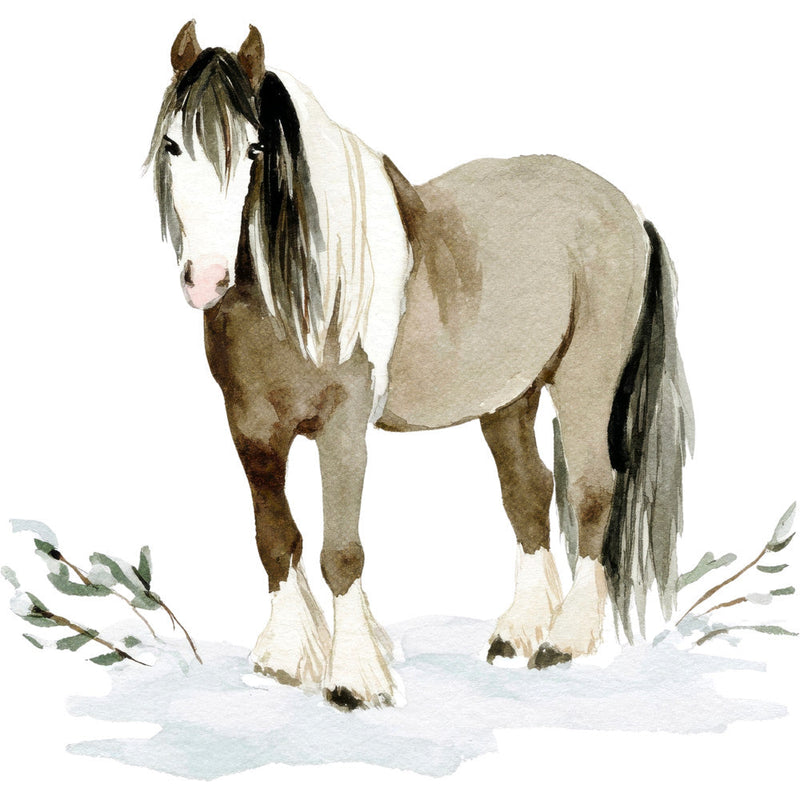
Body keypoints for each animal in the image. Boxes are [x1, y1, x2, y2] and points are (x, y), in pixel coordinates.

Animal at [146, 21, 693, 710]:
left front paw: (354, 678)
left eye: (252, 151)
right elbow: (275, 538)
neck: (297, 292)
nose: (207, 279)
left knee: (593, 490)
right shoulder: (251, 430)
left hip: (585, 381)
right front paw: (286, 657)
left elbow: (340, 551)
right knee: (530, 491)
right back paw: (516, 632)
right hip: (508, 398)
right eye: (172, 145)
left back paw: (563, 641)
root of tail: (628, 211)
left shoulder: (342, 429)